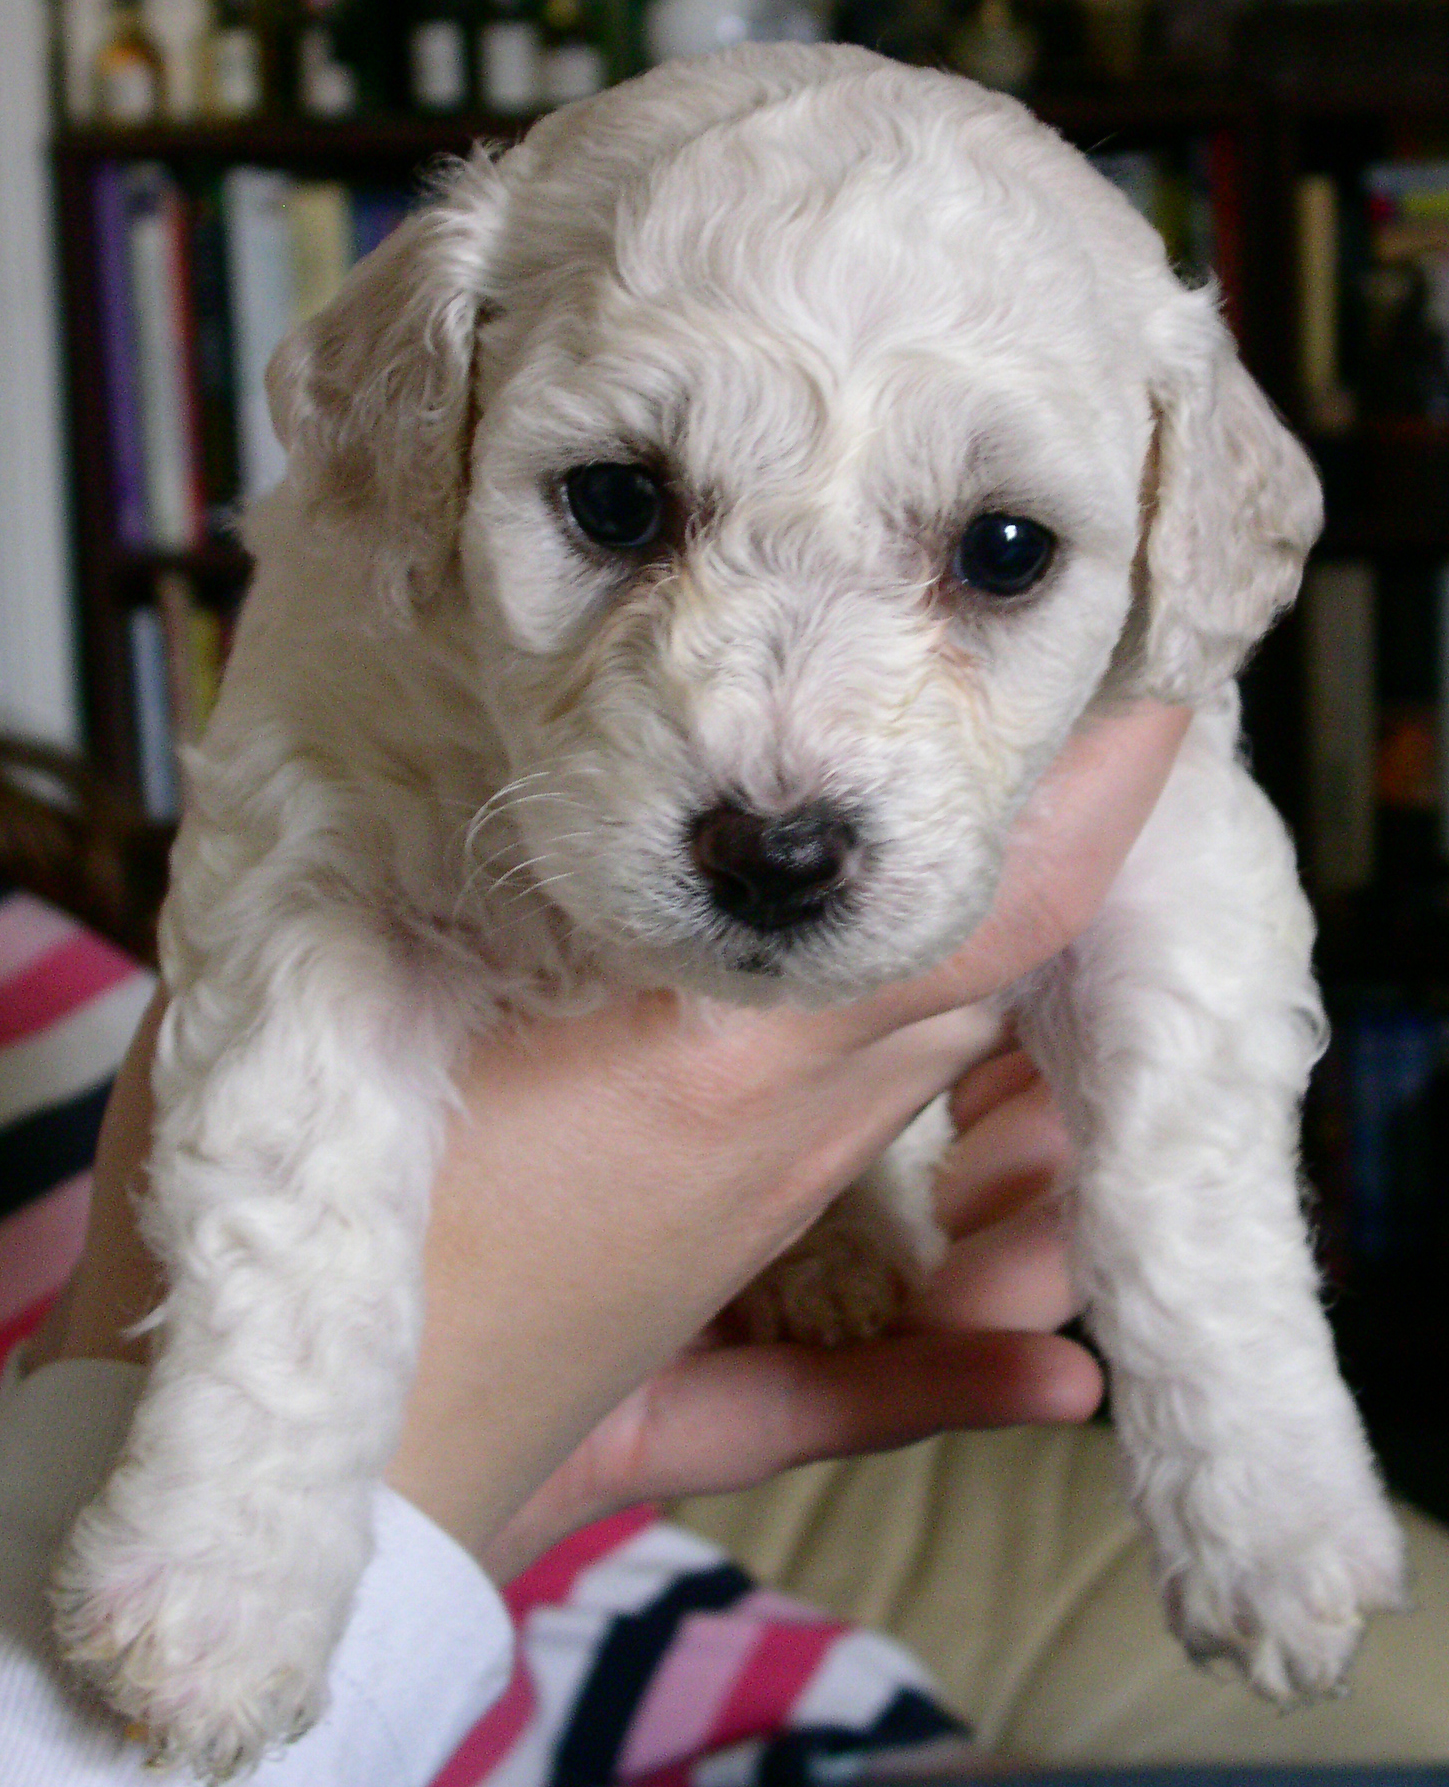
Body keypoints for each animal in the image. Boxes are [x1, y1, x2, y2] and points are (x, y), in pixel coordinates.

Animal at [53, 48, 1407, 1779]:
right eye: (618, 503)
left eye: (1006, 548)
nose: (776, 854)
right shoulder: (314, 850)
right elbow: (296, 1212)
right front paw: (217, 1580)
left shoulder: (1172, 851)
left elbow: (1190, 1199)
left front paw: (1275, 1528)